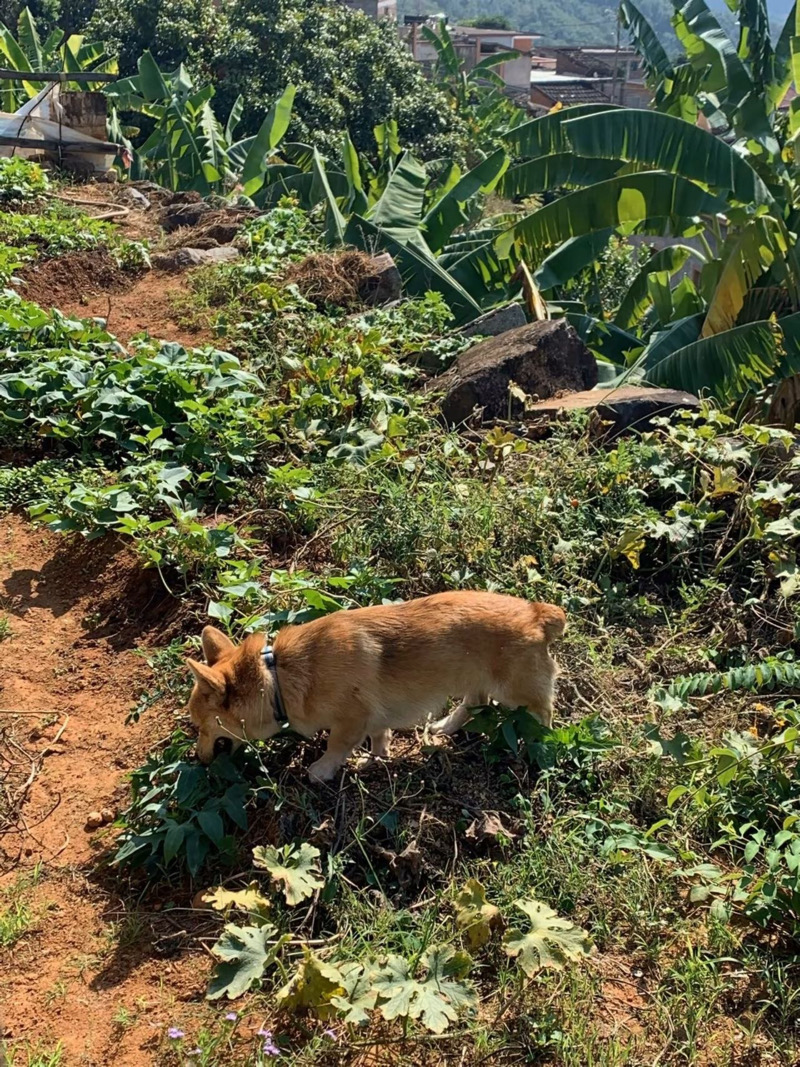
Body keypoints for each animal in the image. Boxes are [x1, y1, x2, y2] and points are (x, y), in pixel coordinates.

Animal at [184, 588, 567, 781]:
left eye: (200, 727)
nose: (198, 761)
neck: (276, 677)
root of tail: (537, 614)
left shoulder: (350, 720)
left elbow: (336, 746)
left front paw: (322, 771)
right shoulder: (374, 718)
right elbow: (379, 738)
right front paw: (375, 761)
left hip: (516, 690)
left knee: (542, 710)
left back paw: (538, 743)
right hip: (472, 678)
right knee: (476, 703)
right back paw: (445, 726)